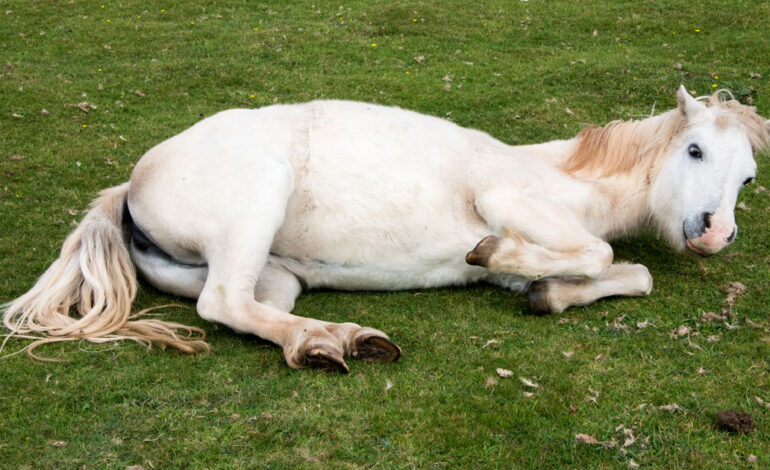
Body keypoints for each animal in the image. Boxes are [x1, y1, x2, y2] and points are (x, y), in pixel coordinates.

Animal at [2, 86, 768, 371]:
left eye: (749, 179)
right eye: (694, 151)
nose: (712, 234)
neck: (566, 175)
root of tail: (132, 186)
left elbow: (626, 272)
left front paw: (545, 292)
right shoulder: (510, 200)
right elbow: (597, 251)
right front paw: (498, 253)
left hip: (268, 273)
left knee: (247, 306)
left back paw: (332, 340)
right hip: (258, 196)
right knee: (222, 303)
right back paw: (331, 344)